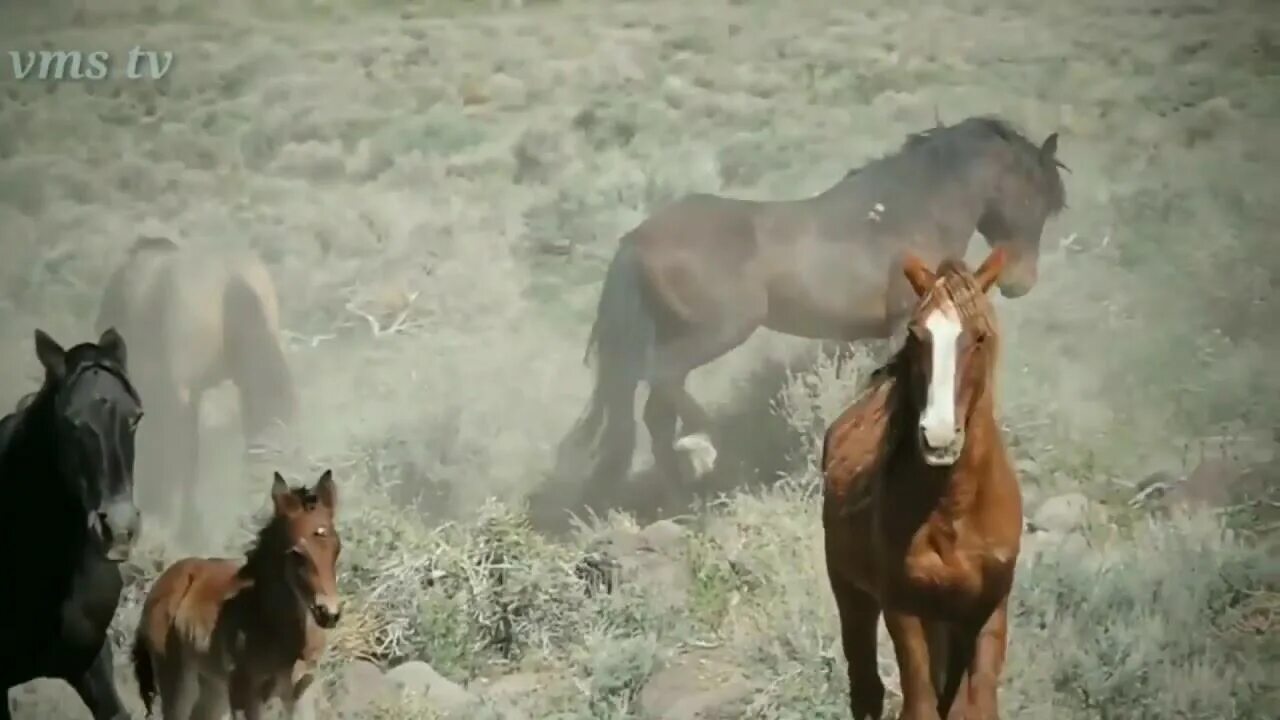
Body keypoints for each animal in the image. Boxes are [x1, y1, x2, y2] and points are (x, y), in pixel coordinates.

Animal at [131, 468, 340, 712]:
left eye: (337, 548)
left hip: (212, 687)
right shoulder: (244, 695)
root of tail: (160, 583)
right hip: (177, 681)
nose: (329, 613)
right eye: (297, 553)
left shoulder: (301, 693)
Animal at [560, 114, 1070, 504]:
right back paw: (703, 449)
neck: (912, 211)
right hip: (716, 330)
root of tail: (635, 239)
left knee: (654, 412)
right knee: (661, 380)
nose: (1021, 283)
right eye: (1033, 196)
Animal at [824, 248, 1024, 717]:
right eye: (916, 336)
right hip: (852, 595)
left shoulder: (987, 610)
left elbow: (975, 707)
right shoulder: (904, 610)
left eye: (980, 336)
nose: (938, 436)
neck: (956, 512)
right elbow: (919, 705)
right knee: (865, 686)